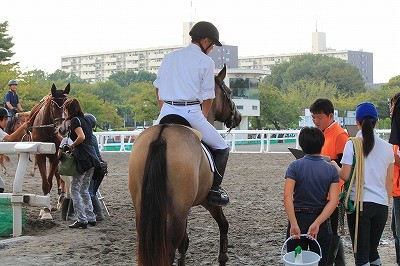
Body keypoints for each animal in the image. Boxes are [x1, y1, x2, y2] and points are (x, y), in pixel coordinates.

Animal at [29, 84, 69, 219]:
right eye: (53, 105)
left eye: (66, 104)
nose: (62, 129)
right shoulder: (40, 156)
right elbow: (45, 183)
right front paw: (45, 209)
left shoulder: (55, 157)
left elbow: (50, 181)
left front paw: (47, 210)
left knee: (61, 177)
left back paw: (61, 199)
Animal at [128, 65, 241, 266]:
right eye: (228, 92)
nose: (238, 117)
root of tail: (161, 136)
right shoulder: (206, 200)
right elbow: (223, 224)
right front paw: (223, 257)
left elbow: (185, 242)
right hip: (178, 212)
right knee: (170, 249)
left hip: (143, 208)